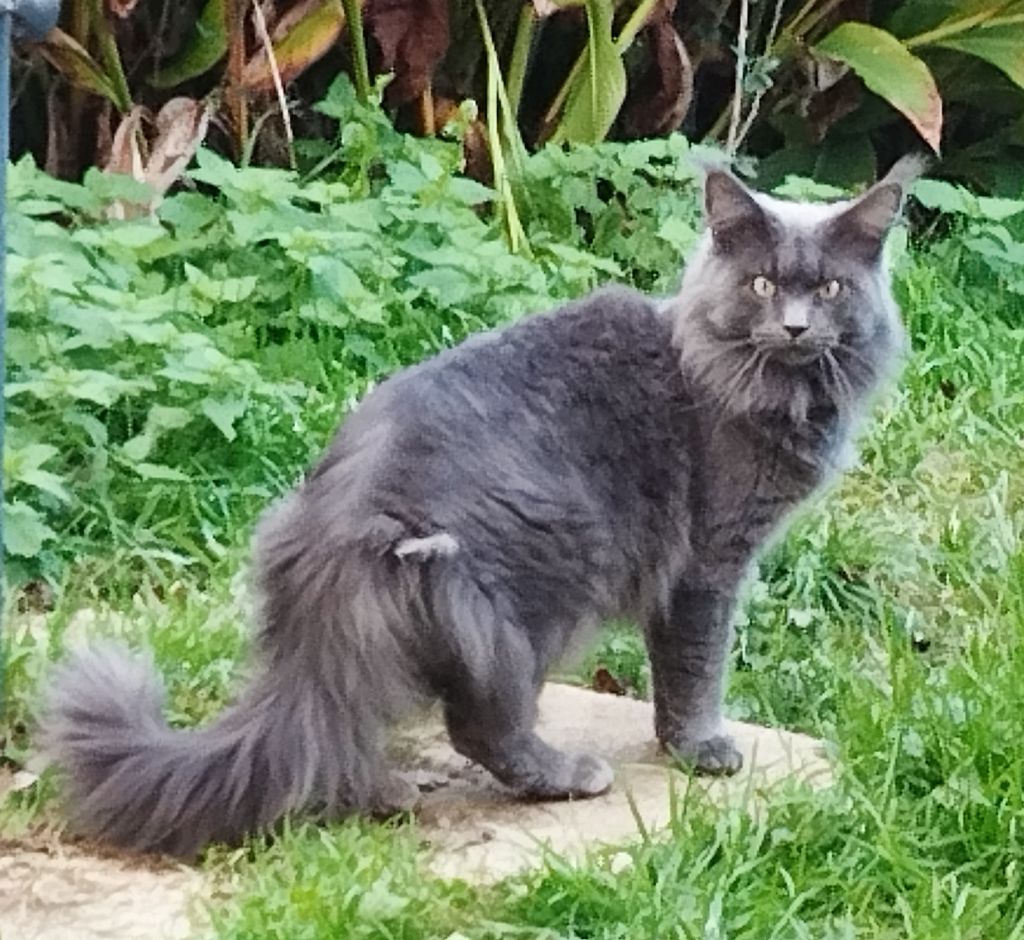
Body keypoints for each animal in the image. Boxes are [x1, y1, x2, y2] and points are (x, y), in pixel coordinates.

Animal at [39, 156, 921, 860]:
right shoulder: (709, 564)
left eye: (830, 288)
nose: (796, 327)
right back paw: (565, 776)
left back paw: (379, 795)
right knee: (483, 724)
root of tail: (344, 515)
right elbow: (696, 670)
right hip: (547, 573)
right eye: (763, 284)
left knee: (341, 729)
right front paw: (701, 751)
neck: (765, 391)